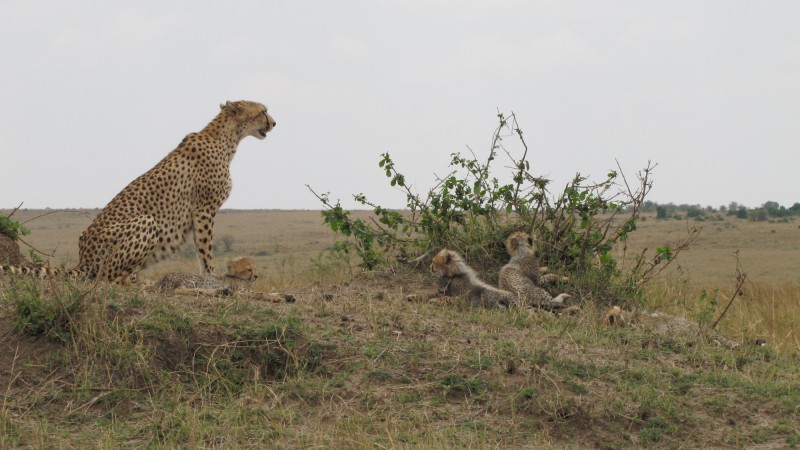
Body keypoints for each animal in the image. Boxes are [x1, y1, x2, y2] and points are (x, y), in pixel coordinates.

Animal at [3, 102, 276, 284]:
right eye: (262, 111)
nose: (274, 123)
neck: (227, 138)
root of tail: (83, 257)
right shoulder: (204, 210)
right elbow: (205, 249)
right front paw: (212, 275)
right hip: (145, 222)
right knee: (109, 278)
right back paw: (139, 282)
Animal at [156, 256, 294, 302]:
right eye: (249, 269)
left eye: (255, 268)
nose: (256, 276)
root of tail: (162, 278)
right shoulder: (241, 291)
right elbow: (262, 293)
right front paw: (277, 298)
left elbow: (271, 291)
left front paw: (288, 296)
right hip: (195, 280)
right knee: (180, 289)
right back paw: (221, 291)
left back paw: (222, 291)